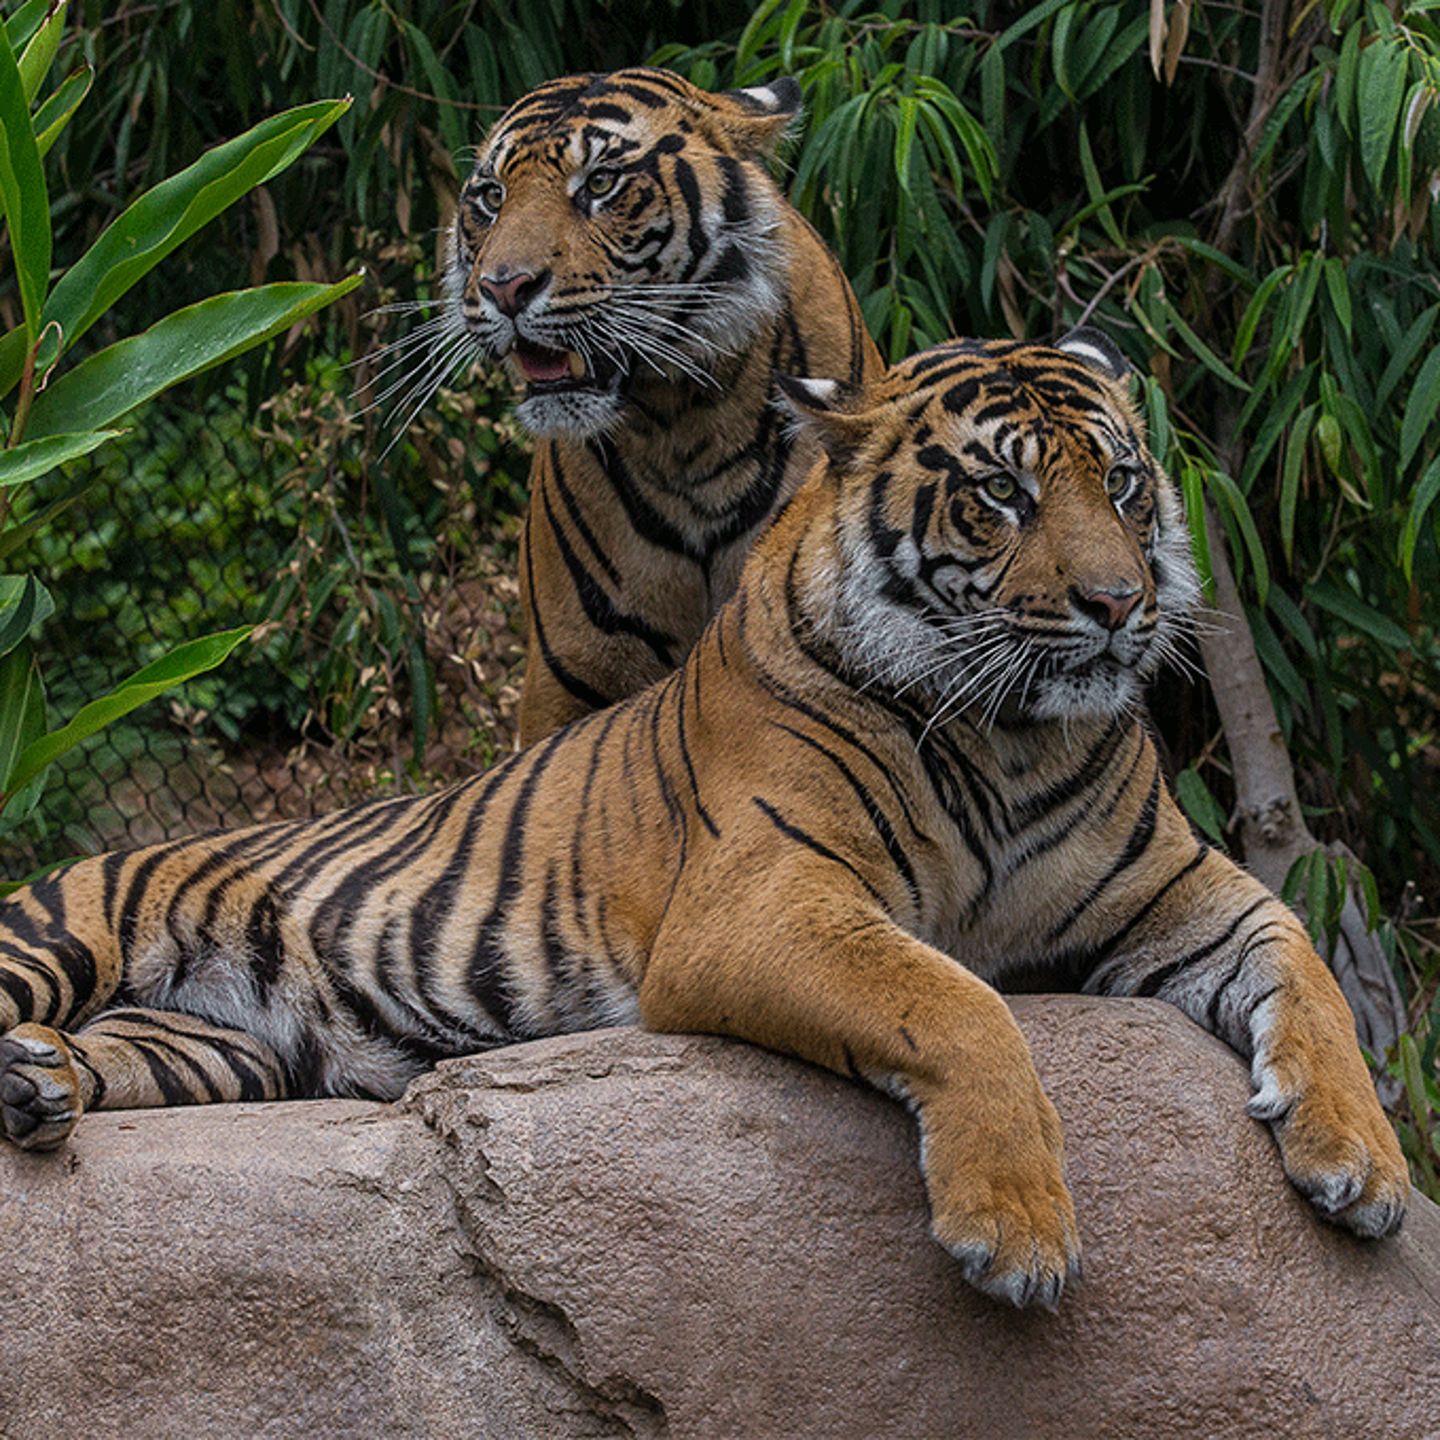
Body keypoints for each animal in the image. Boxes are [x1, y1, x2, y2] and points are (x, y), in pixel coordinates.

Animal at [0, 330, 1406, 1309]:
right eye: (1001, 497)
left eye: (1119, 483)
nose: (1120, 607)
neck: (1013, 735)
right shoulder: (764, 900)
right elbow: (957, 1002)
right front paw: (1015, 1231)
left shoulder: (1178, 889)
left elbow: (1310, 969)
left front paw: (1366, 1165)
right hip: (60, 934)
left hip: (225, 1050)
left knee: (121, 1057)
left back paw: (40, 1084)